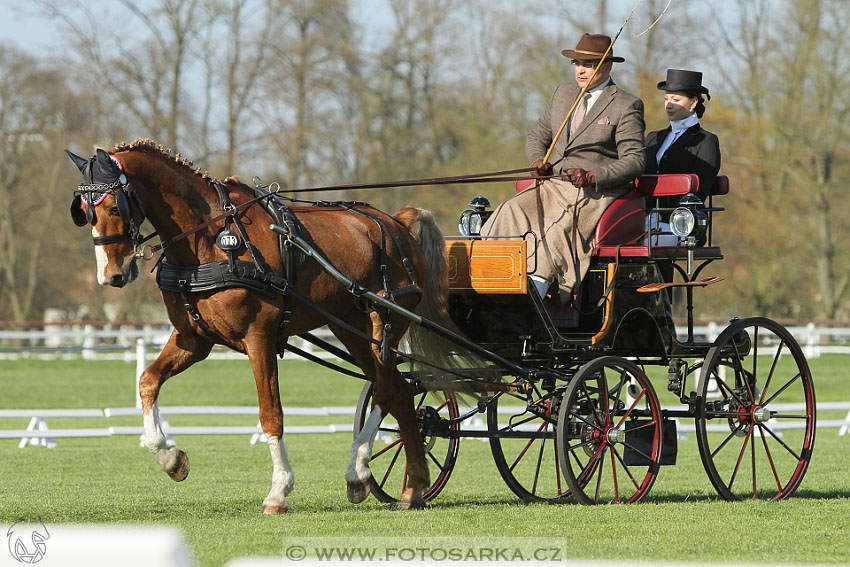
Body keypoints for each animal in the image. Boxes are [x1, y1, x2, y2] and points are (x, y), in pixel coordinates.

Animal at [67, 140, 454, 512]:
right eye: (84, 212)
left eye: (114, 207)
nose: (111, 275)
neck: (210, 239)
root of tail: (396, 223)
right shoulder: (193, 339)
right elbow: (148, 382)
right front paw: (170, 457)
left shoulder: (259, 338)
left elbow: (272, 415)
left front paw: (278, 492)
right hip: (349, 327)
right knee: (400, 393)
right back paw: (412, 487)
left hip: (384, 325)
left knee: (388, 391)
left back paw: (359, 471)